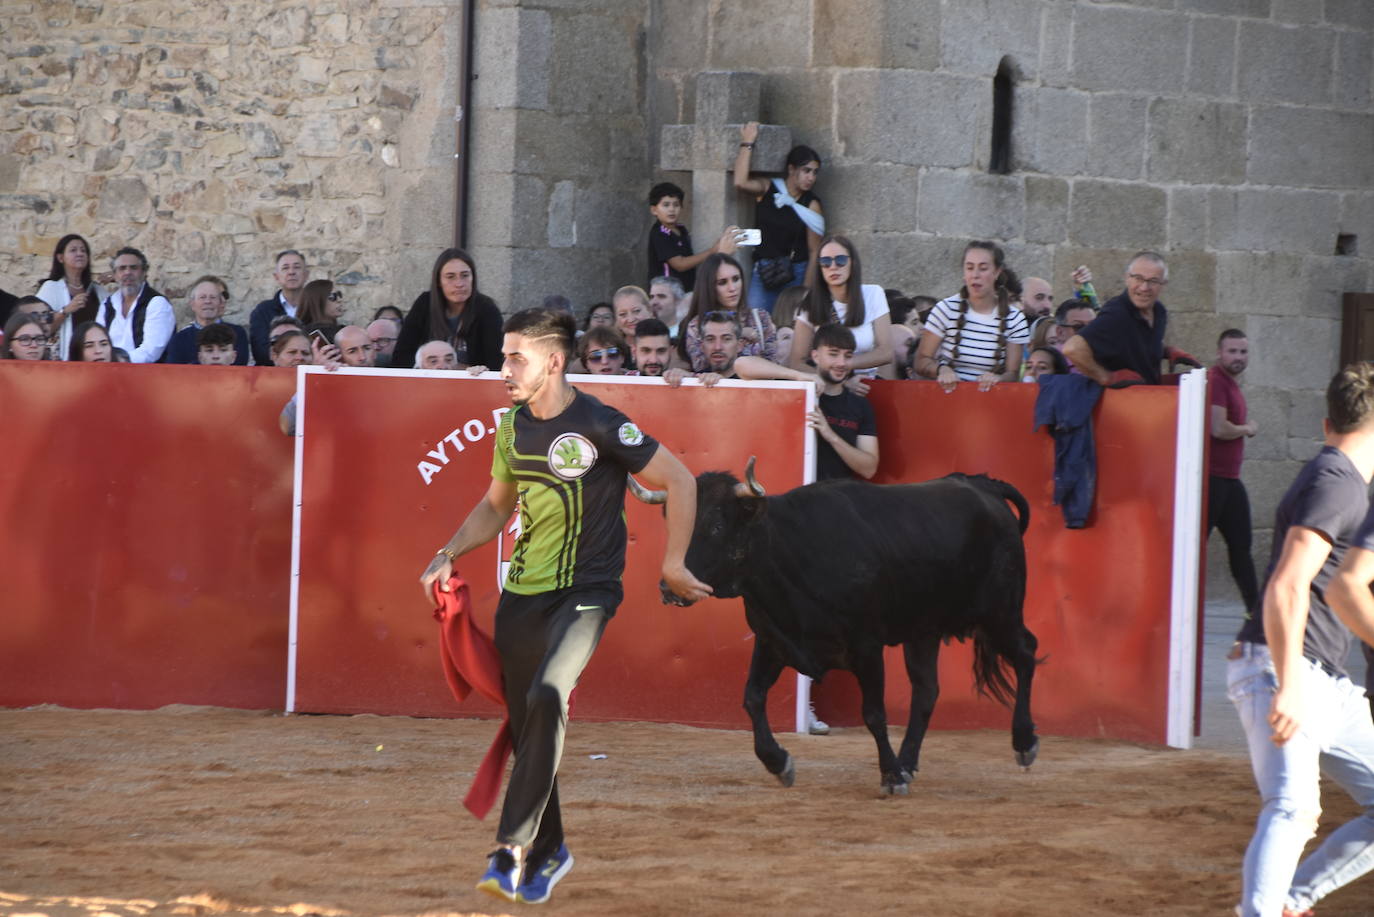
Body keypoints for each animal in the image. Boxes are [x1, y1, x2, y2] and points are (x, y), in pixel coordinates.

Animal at [632, 467, 1038, 797]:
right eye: (674, 523)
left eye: (716, 526)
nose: (668, 588)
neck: (788, 555)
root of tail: (981, 485)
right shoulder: (773, 641)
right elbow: (752, 698)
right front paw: (779, 762)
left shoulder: (867, 647)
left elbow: (873, 712)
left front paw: (890, 777)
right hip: (923, 631)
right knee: (927, 691)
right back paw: (908, 761)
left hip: (1001, 612)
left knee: (1025, 653)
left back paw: (1024, 742)